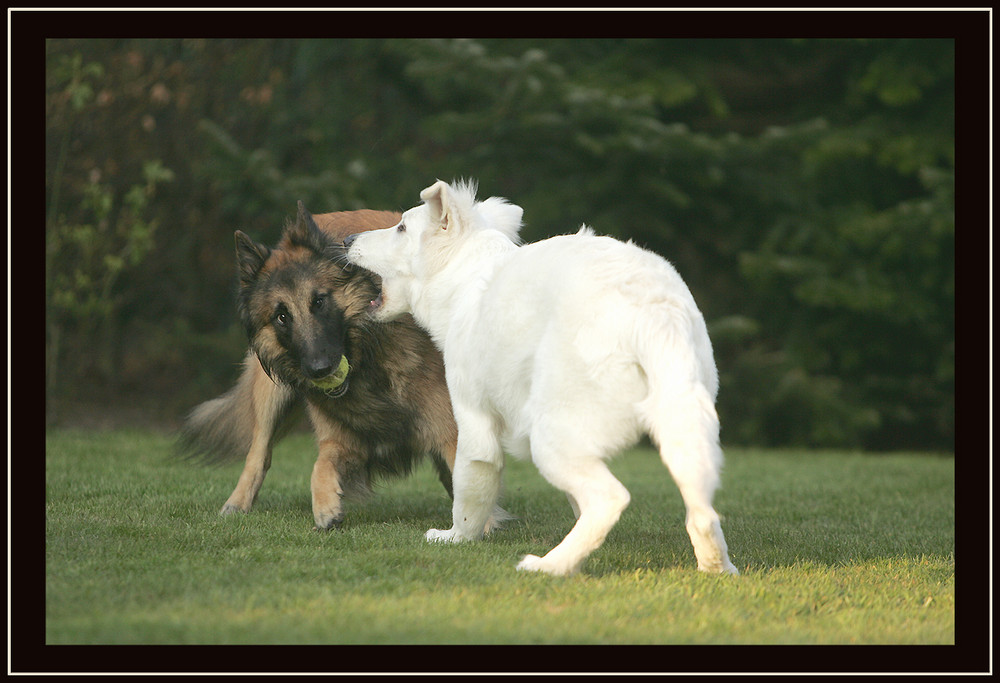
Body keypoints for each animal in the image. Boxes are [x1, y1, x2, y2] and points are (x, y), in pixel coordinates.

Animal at [348, 182, 740, 576]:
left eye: (401, 228)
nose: (348, 238)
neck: (466, 279)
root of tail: (655, 311)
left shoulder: (473, 423)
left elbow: (468, 495)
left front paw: (455, 538)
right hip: (683, 432)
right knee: (702, 514)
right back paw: (717, 567)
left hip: (551, 438)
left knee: (610, 499)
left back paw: (550, 566)